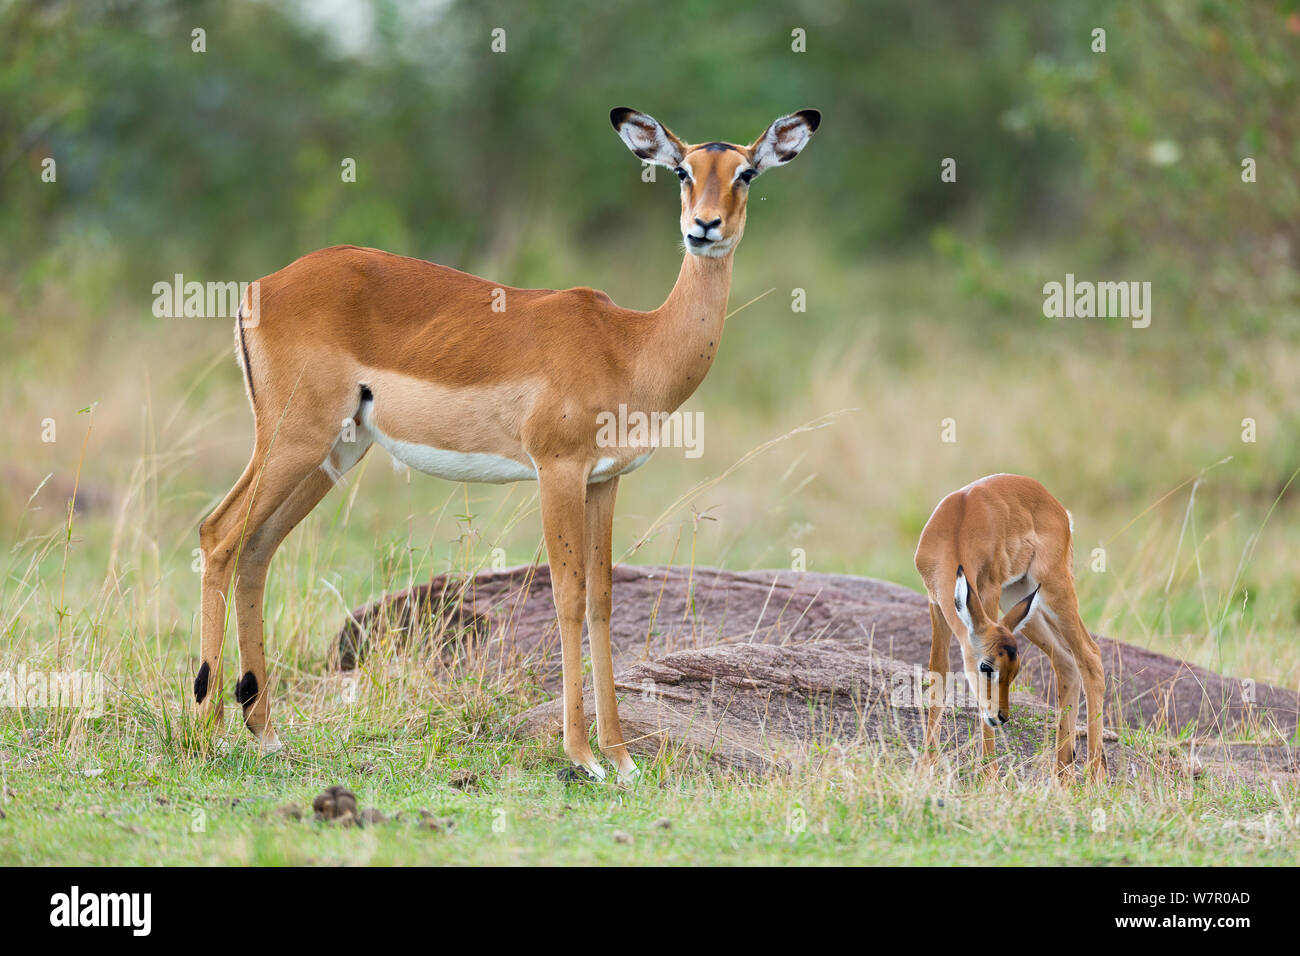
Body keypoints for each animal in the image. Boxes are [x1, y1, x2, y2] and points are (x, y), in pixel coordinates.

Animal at [193, 106, 820, 781]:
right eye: (682, 170)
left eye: (746, 173)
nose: (703, 227)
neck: (631, 345)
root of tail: (259, 287)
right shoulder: (558, 470)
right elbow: (568, 596)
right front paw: (582, 756)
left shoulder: (604, 480)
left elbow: (602, 600)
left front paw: (622, 759)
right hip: (294, 439)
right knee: (219, 534)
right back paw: (205, 726)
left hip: (335, 452)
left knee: (256, 548)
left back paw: (265, 732)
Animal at [913, 474, 1107, 781]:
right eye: (986, 666)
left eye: (1014, 671)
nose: (1002, 716)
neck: (956, 526)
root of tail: (1058, 507)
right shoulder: (937, 604)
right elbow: (939, 674)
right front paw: (924, 768)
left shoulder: (988, 592)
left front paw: (989, 776)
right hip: (1022, 601)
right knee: (1065, 662)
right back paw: (1061, 777)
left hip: (1054, 589)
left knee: (1090, 656)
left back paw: (1092, 777)